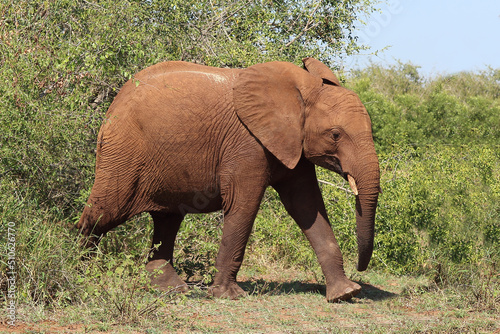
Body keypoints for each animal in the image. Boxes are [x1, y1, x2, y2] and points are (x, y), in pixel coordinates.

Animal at [78, 57, 380, 302]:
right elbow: (244, 204)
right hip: (123, 153)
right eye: (336, 134)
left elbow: (307, 205)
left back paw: (171, 289)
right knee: (105, 212)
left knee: (167, 218)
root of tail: (115, 102)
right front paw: (229, 295)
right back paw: (81, 270)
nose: (362, 269)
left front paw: (345, 293)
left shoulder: (294, 144)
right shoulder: (247, 144)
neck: (302, 90)